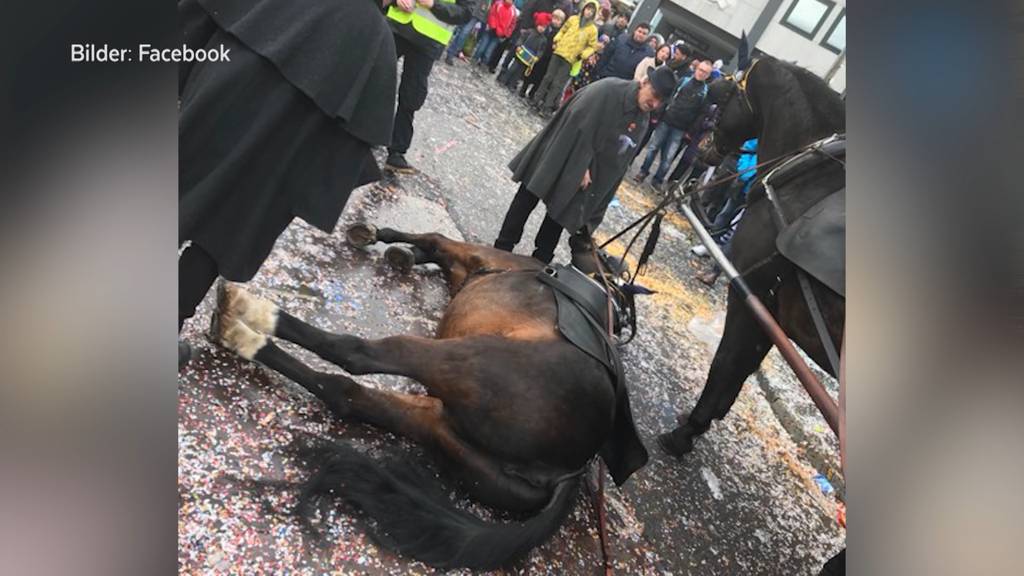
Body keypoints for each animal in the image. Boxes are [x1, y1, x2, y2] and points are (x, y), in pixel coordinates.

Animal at [209, 222, 647, 565]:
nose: (582, 231)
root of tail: (570, 469)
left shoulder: (477, 255)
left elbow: (436, 240)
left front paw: (383, 238)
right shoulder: (464, 271)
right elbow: (434, 251)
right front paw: (398, 250)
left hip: (455, 359)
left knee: (354, 354)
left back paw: (251, 316)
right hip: (441, 430)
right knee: (343, 393)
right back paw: (243, 337)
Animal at [655, 56, 847, 455]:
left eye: (721, 98)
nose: (704, 147)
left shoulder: (752, 295)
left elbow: (726, 363)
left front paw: (687, 431)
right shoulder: (773, 314)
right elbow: (740, 371)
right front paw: (703, 420)